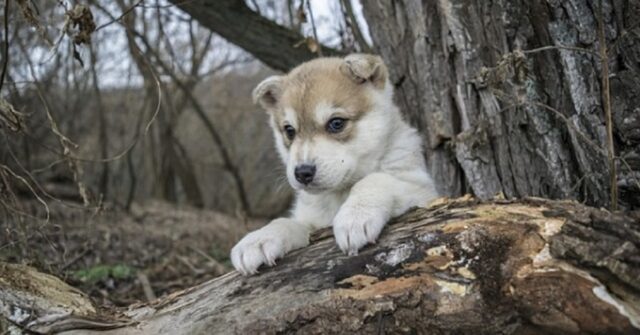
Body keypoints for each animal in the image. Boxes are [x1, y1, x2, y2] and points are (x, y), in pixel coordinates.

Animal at [231, 54, 440, 276]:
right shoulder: (311, 220)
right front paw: (259, 238)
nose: (302, 173)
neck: (338, 195)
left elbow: (375, 179)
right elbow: (285, 222)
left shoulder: (423, 191)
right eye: (289, 131)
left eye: (336, 123)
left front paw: (355, 215)